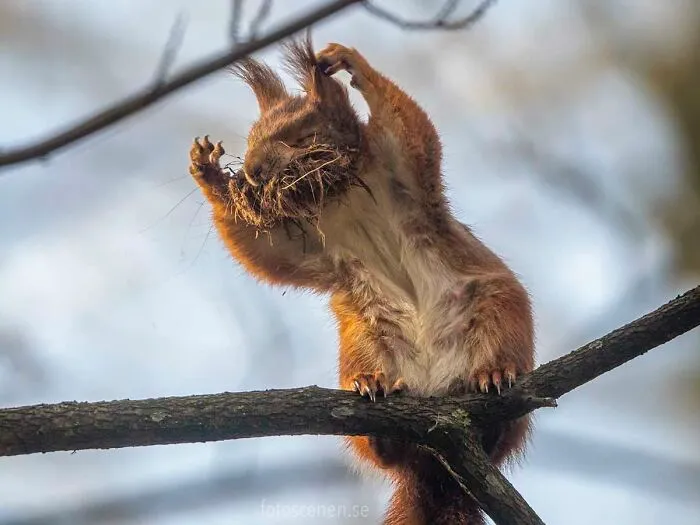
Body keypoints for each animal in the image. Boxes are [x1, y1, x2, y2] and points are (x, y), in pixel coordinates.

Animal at [188, 38, 535, 525]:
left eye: (301, 135)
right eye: (252, 137)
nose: (252, 172)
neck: (337, 194)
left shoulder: (406, 172)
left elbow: (412, 127)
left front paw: (349, 60)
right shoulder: (302, 241)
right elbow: (259, 246)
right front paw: (208, 169)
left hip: (499, 313)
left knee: (500, 417)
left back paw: (494, 379)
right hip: (364, 339)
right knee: (388, 447)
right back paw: (376, 398)